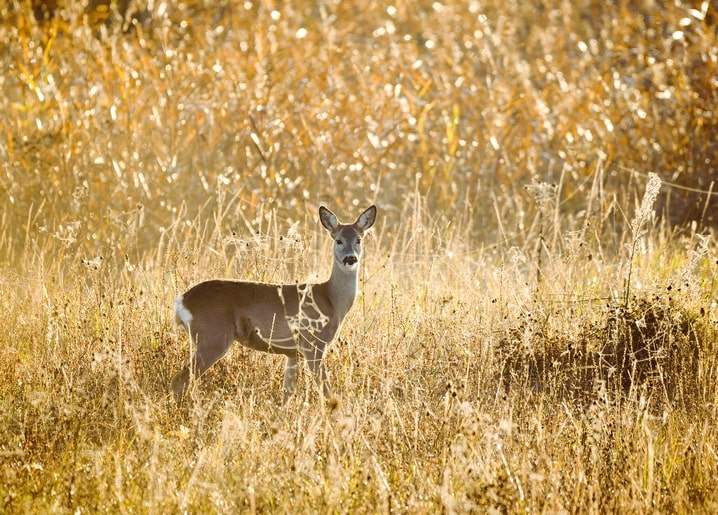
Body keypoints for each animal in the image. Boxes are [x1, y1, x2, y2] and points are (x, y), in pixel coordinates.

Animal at [171, 204, 377, 404]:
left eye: (359, 240)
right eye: (338, 240)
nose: (350, 258)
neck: (330, 299)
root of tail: (182, 301)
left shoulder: (293, 352)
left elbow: (288, 393)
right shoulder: (313, 343)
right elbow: (326, 390)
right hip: (213, 336)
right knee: (179, 380)